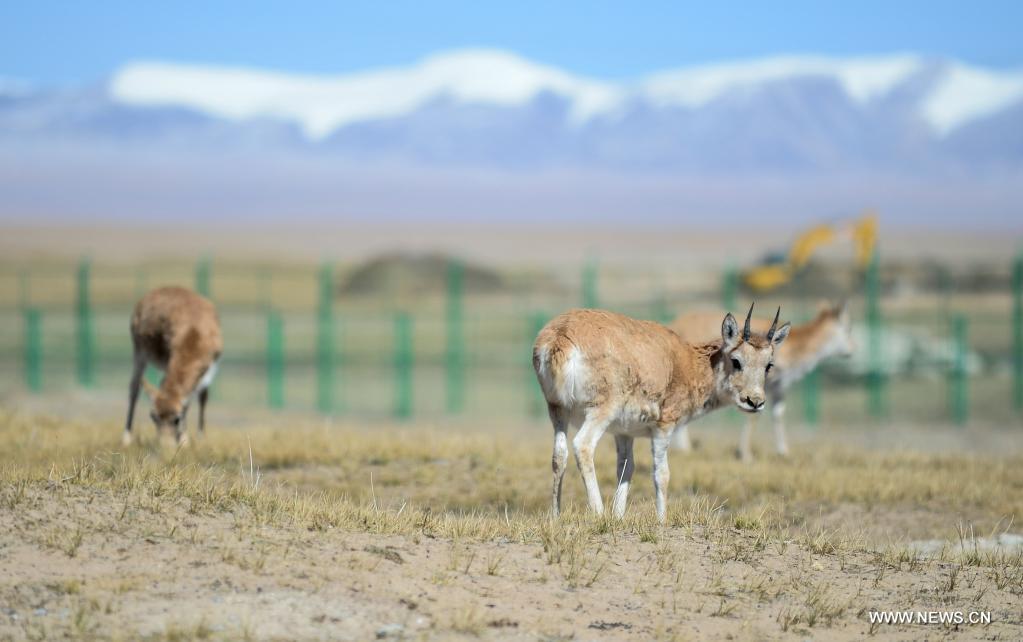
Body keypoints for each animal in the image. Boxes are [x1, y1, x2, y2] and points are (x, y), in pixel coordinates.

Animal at [122, 286, 223, 445]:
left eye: (177, 418)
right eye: (153, 416)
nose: (164, 444)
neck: (194, 335)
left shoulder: (210, 368)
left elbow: (202, 397)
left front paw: (198, 439)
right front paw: (184, 441)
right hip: (138, 349)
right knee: (134, 388)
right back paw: (126, 438)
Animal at [531, 304, 785, 521]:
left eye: (768, 365)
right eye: (736, 360)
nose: (755, 401)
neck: (685, 361)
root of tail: (561, 335)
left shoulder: (624, 433)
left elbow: (626, 468)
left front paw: (618, 517)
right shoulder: (664, 426)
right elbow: (661, 474)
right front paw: (661, 520)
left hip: (557, 411)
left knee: (559, 454)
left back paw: (556, 516)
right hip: (600, 413)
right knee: (582, 446)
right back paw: (598, 514)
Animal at [671, 302, 855, 462]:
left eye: (769, 364)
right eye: (847, 328)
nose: (852, 350)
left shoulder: (778, 389)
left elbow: (778, 414)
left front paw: (783, 453)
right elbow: (754, 415)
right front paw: (745, 455)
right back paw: (685, 448)